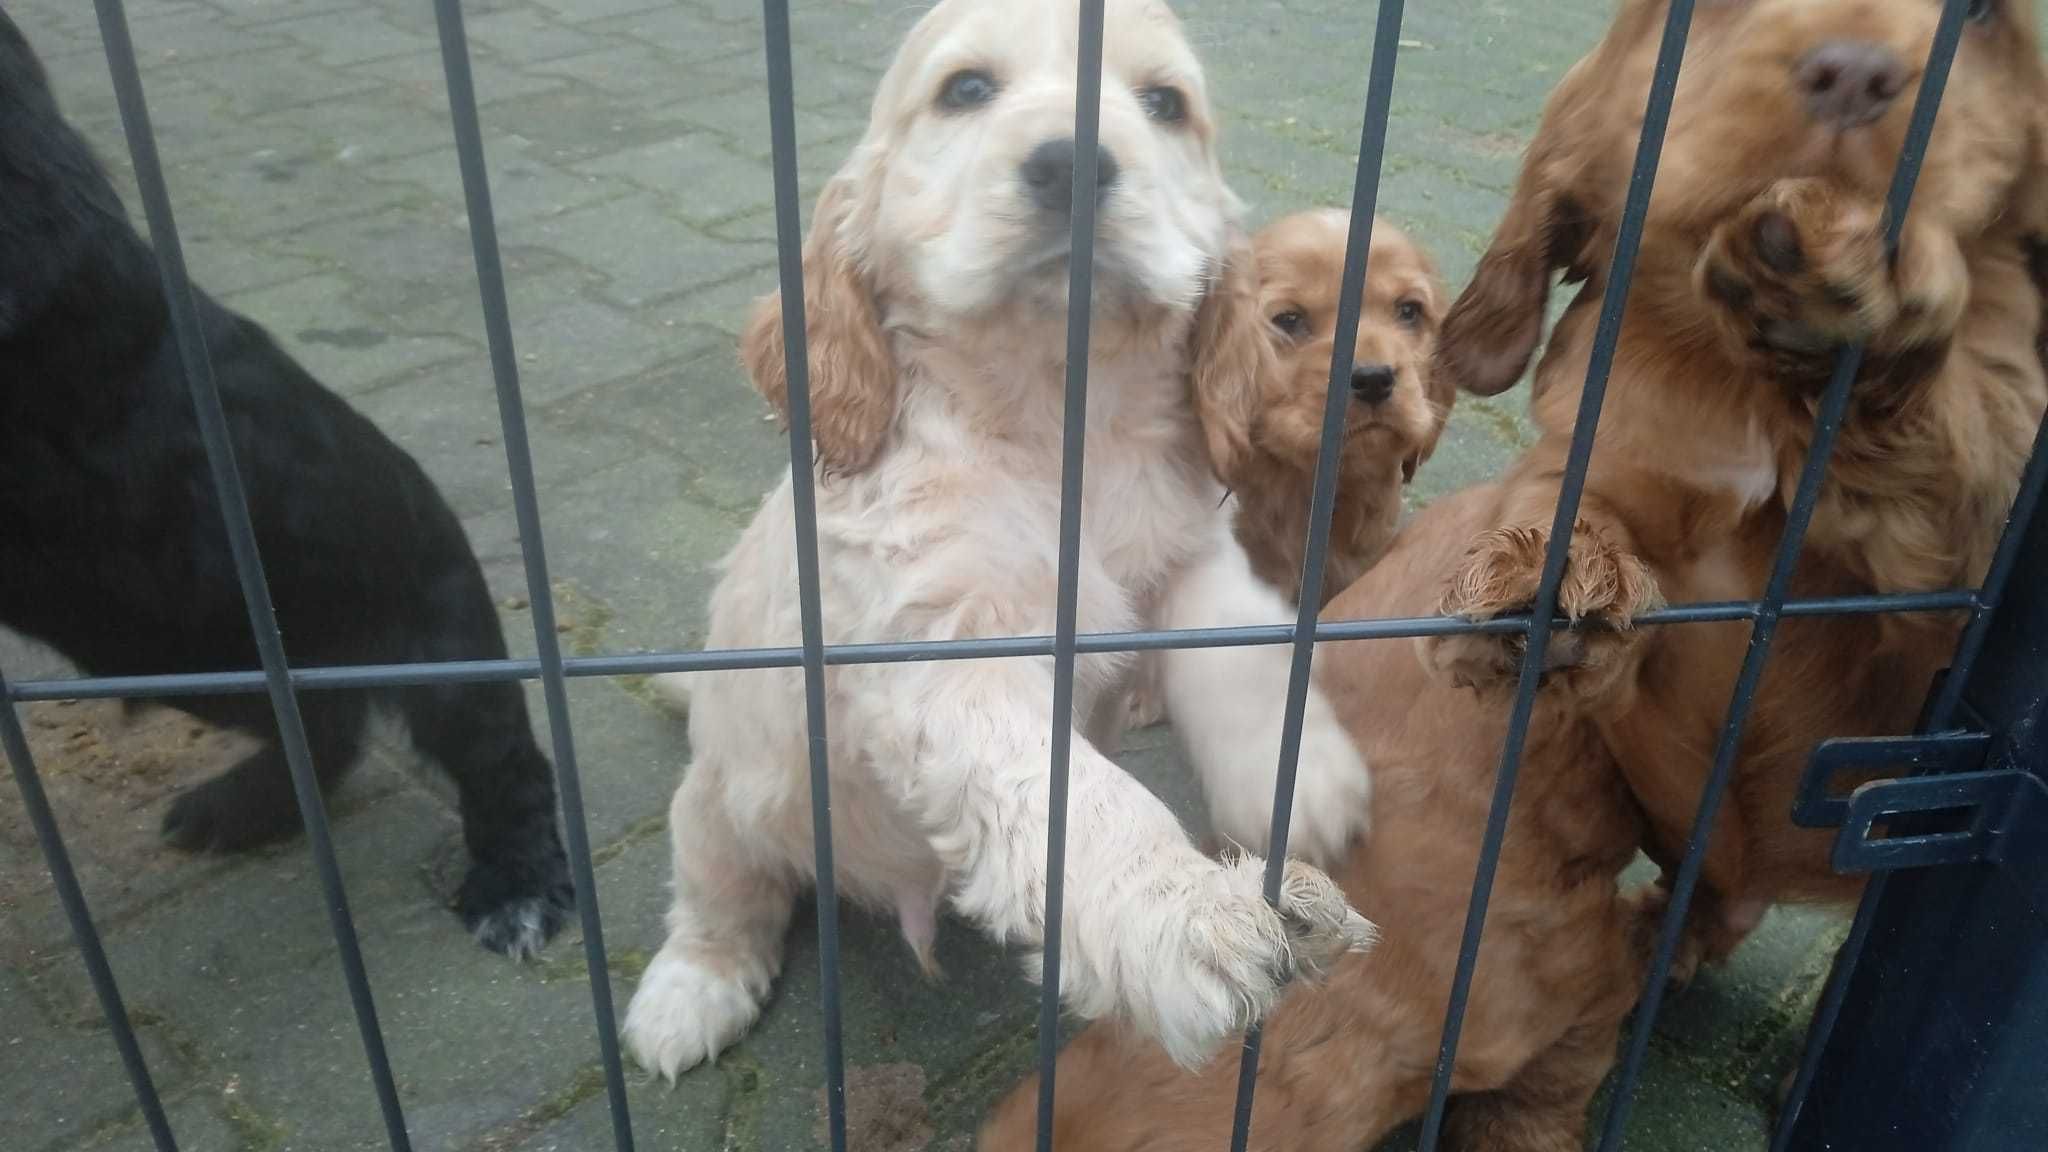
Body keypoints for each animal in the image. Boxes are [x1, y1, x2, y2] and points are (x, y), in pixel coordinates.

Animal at [2, 13, 577, 955]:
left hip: (431, 646)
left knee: (497, 758)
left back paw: (516, 887)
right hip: (220, 661)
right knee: (320, 730)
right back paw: (243, 807)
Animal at [610, 0, 1376, 1074]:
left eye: (1163, 104)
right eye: (966, 89)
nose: (1074, 164)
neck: (1055, 413)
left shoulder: (1189, 556)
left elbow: (1242, 656)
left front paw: (1301, 778)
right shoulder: (946, 649)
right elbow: (1073, 798)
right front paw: (1189, 920)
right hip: (721, 798)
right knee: (723, 892)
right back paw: (690, 995)